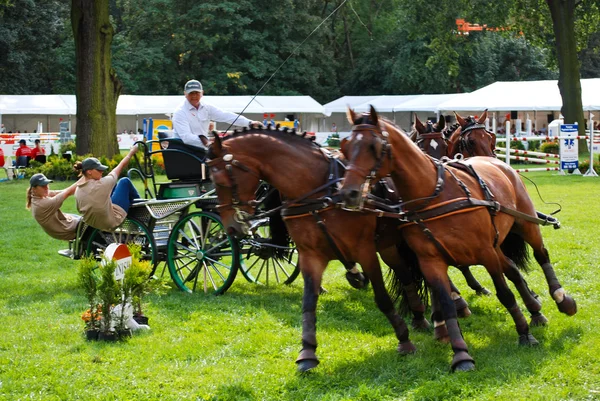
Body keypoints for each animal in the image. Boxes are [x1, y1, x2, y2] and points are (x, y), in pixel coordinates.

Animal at [206, 126, 432, 372]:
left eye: (220, 180)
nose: (230, 227)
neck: (318, 191)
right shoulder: (310, 255)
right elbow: (308, 303)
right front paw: (307, 352)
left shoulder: (365, 251)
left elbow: (382, 298)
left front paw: (404, 339)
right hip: (388, 246)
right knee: (405, 273)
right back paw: (418, 316)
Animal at [338, 105, 576, 372]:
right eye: (347, 146)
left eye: (373, 146)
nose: (349, 192)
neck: (433, 195)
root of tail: (498, 164)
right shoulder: (430, 260)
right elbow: (445, 298)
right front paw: (459, 350)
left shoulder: (485, 251)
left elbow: (504, 293)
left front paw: (524, 334)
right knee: (511, 268)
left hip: (525, 223)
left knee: (540, 254)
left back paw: (561, 298)